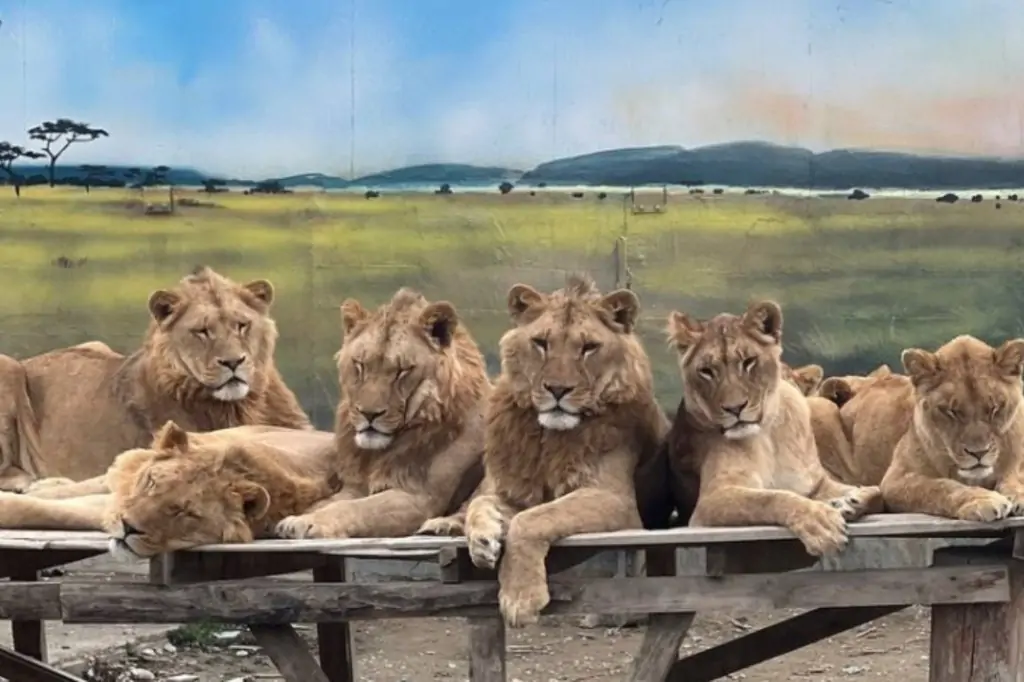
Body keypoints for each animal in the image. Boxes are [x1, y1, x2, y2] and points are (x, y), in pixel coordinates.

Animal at [271, 288, 490, 540]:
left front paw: (307, 523)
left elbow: (354, 508)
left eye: (402, 371)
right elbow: (327, 503)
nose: (369, 414)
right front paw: (299, 517)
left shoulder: (418, 497)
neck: (375, 455)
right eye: (360, 365)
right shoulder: (354, 486)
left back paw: (442, 525)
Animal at [419, 275, 675, 628]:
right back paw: (443, 525)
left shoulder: (617, 501)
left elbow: (533, 519)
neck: (548, 438)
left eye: (588, 347)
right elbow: (487, 505)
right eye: (541, 343)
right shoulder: (514, 490)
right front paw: (482, 539)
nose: (557, 389)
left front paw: (519, 598)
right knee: (470, 501)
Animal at [665, 300, 883, 558]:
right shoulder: (712, 499)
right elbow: (769, 498)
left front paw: (853, 501)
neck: (766, 436)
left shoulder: (816, 484)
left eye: (749, 361)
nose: (735, 408)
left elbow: (879, 492)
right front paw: (820, 523)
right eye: (706, 371)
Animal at [880, 335, 1024, 521]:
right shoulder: (895, 479)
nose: (979, 453)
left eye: (994, 409)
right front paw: (983, 500)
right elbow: (940, 487)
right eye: (952, 412)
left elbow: (1014, 476)